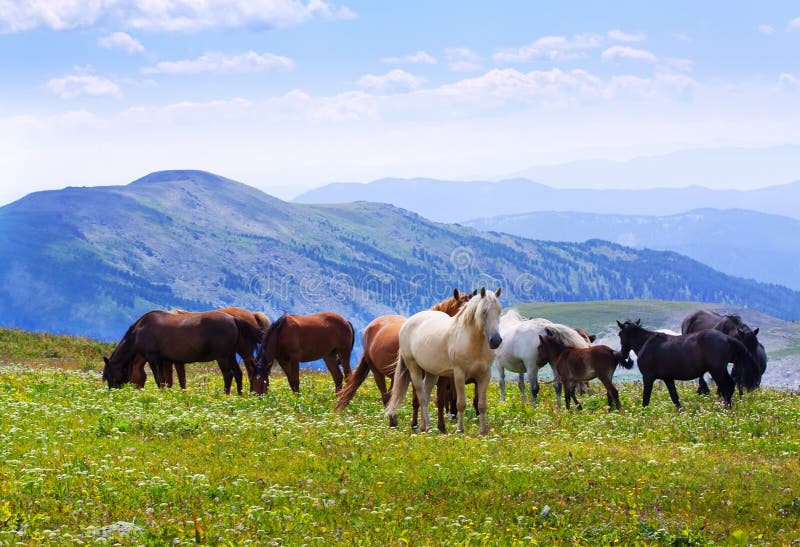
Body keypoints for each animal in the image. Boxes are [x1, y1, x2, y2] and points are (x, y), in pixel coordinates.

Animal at [101, 310, 264, 396]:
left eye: (109, 375)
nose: (112, 393)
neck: (139, 331)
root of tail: (234, 319)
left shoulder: (154, 359)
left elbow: (159, 380)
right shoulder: (165, 361)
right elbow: (169, 381)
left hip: (223, 356)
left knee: (228, 374)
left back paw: (226, 394)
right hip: (230, 355)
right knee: (238, 373)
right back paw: (239, 394)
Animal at [332, 288, 476, 434]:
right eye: (461, 311)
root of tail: (371, 326)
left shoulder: (443, 378)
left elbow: (440, 401)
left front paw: (441, 428)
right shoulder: (416, 375)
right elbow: (417, 400)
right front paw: (415, 425)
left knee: (392, 395)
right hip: (377, 372)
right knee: (385, 396)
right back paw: (392, 422)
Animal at [384, 286, 504, 436]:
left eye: (499, 311)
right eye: (484, 312)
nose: (496, 341)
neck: (472, 342)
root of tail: (407, 322)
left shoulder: (484, 375)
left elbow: (482, 405)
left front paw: (483, 432)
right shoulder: (459, 375)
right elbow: (460, 404)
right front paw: (460, 430)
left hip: (432, 373)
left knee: (426, 394)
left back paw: (424, 427)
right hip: (414, 368)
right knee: (422, 398)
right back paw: (428, 427)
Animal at [620, 318, 764, 408]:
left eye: (619, 334)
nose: (623, 355)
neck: (647, 342)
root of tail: (727, 339)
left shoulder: (648, 377)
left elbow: (646, 398)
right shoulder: (668, 378)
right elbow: (675, 398)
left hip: (717, 370)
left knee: (727, 385)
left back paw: (727, 406)